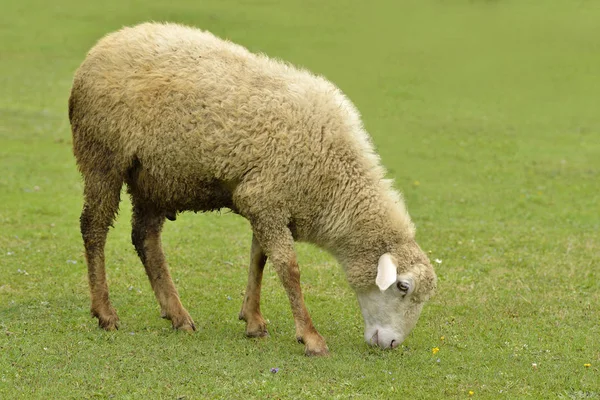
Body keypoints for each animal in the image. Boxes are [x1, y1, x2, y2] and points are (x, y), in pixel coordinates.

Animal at [69, 21, 436, 356]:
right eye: (402, 286)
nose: (391, 343)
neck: (334, 179)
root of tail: (105, 44)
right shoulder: (266, 199)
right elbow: (289, 269)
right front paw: (310, 337)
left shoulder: (267, 204)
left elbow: (259, 259)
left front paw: (254, 320)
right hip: (103, 155)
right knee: (94, 227)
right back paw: (105, 313)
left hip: (154, 177)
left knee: (145, 238)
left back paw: (177, 314)